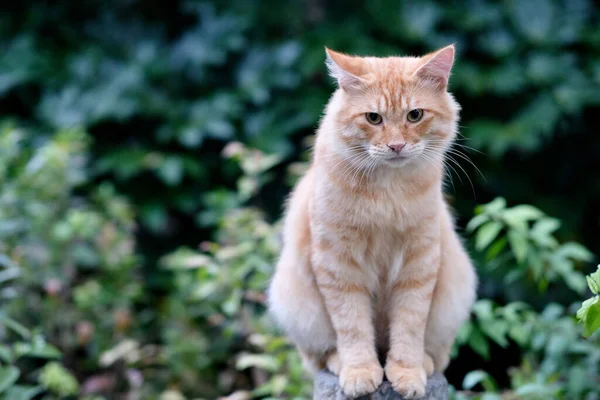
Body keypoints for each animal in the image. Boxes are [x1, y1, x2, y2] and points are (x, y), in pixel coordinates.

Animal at [268, 45, 478, 398]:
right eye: (373, 118)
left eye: (415, 115)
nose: (396, 145)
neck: (387, 191)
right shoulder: (338, 265)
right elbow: (352, 327)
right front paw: (360, 372)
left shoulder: (418, 263)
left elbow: (409, 326)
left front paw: (407, 373)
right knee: (320, 356)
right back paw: (339, 363)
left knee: (436, 352)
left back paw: (424, 363)